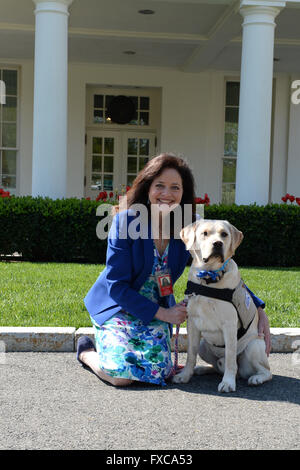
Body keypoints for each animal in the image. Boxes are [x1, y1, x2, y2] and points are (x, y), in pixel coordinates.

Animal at [171, 220, 272, 392]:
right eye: (204, 233)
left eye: (224, 234)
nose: (218, 244)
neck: (208, 279)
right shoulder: (192, 323)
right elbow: (191, 354)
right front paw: (185, 375)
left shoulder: (229, 325)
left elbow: (231, 358)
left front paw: (228, 383)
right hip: (204, 345)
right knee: (216, 367)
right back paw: (202, 369)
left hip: (253, 346)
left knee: (266, 371)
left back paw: (257, 378)